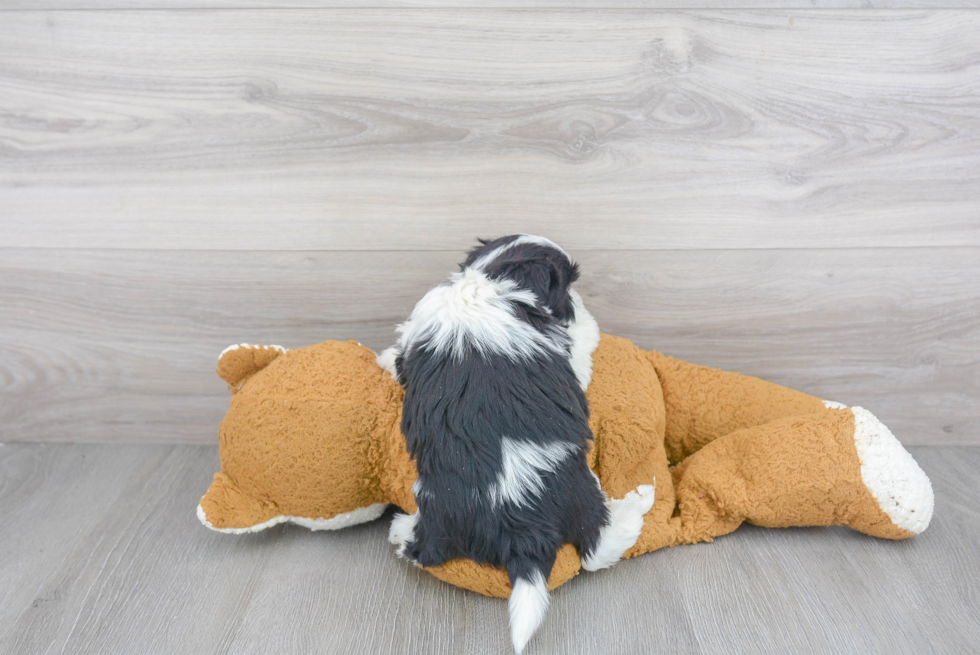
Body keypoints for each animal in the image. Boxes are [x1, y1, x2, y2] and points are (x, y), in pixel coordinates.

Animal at [378, 234, 656, 652]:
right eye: (567, 285)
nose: (578, 302)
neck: (488, 279)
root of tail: (520, 525)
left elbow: (401, 355)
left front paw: (384, 357)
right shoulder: (565, 350)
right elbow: (582, 345)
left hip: (438, 509)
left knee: (425, 550)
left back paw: (401, 531)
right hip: (583, 492)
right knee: (599, 546)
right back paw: (640, 501)